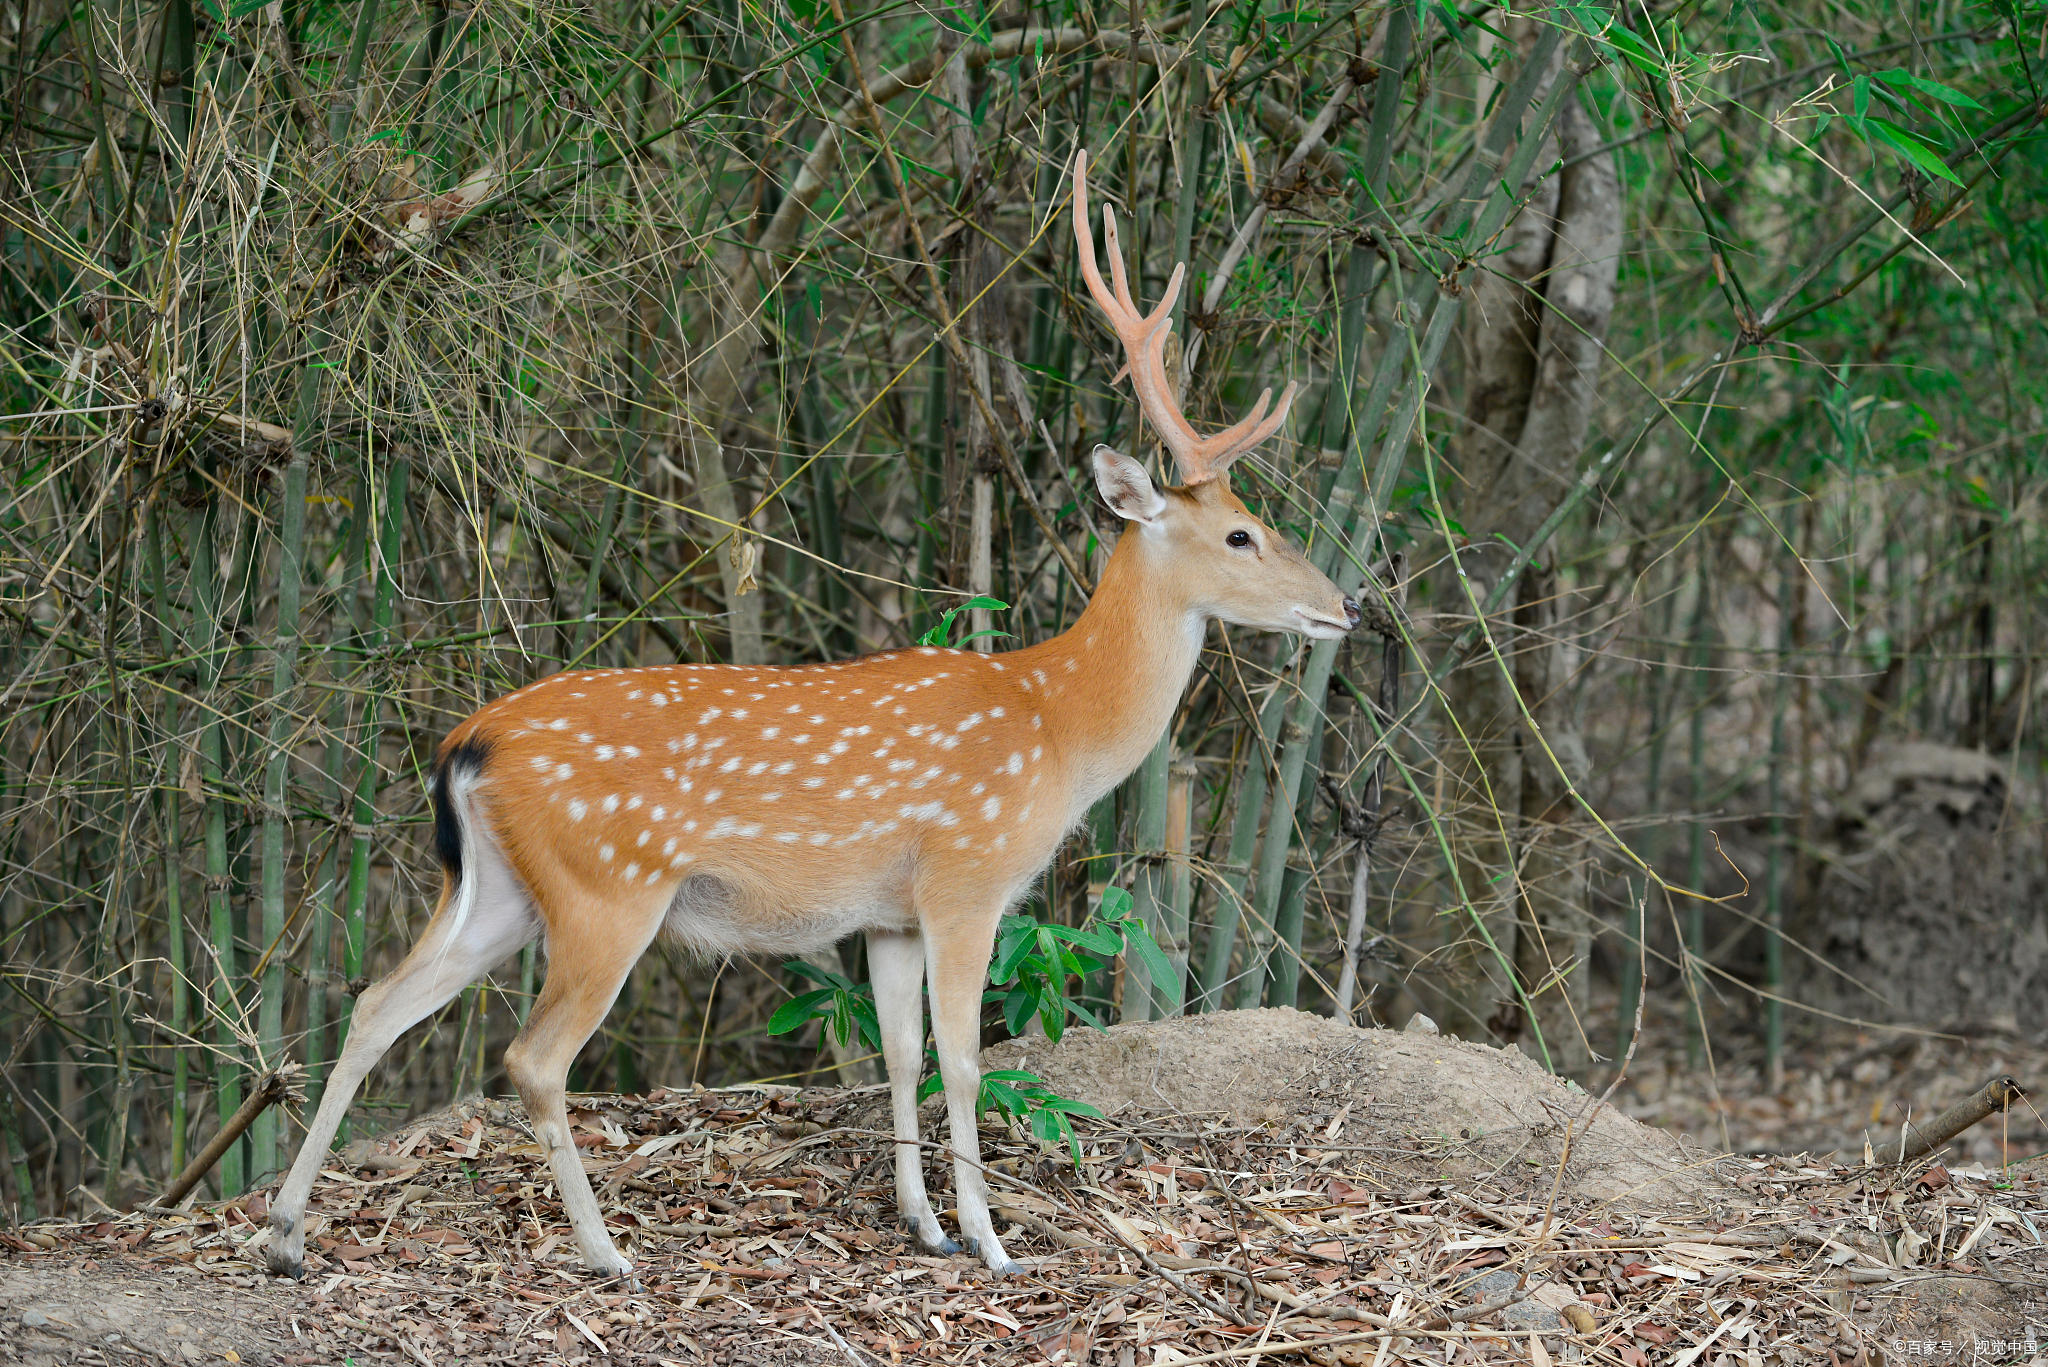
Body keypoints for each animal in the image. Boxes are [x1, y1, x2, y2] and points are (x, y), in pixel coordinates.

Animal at [262, 149, 1359, 1282]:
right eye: (1241, 534)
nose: (1345, 606)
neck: (1053, 721)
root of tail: (463, 744)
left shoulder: (887, 911)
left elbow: (900, 1051)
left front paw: (923, 1221)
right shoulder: (967, 877)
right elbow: (965, 1058)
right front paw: (990, 1240)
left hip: (498, 888)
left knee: (375, 1004)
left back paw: (288, 1233)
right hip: (607, 884)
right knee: (530, 1054)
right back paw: (606, 1253)